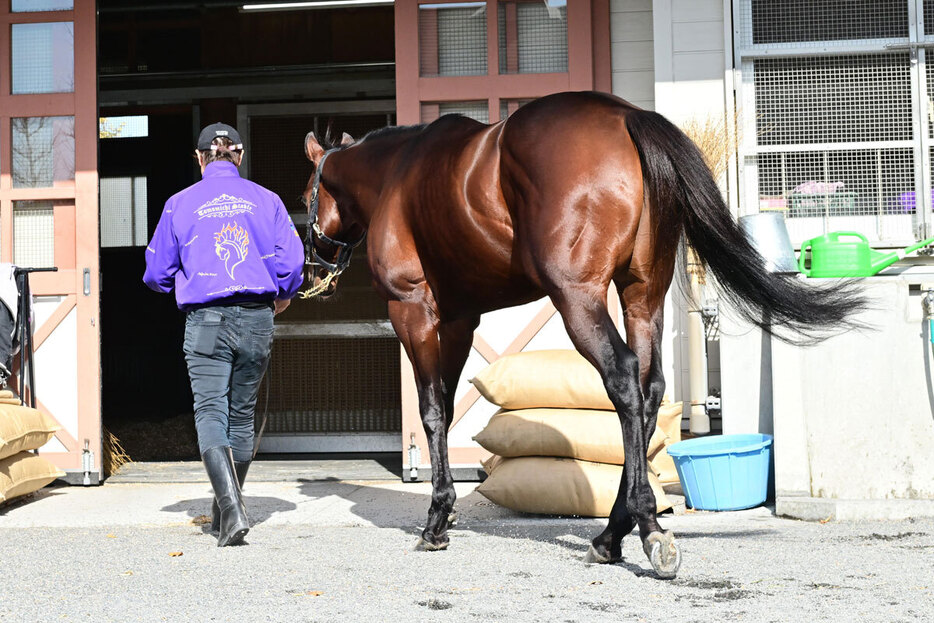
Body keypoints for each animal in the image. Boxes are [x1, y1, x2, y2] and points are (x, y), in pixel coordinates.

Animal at [300, 90, 864, 576]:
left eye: (307, 194)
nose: (313, 266)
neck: (398, 174)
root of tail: (627, 116)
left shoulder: (412, 310)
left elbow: (433, 410)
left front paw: (437, 520)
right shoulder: (461, 319)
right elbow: (447, 400)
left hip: (578, 299)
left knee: (623, 380)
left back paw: (646, 529)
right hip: (642, 297)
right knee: (649, 391)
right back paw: (613, 534)